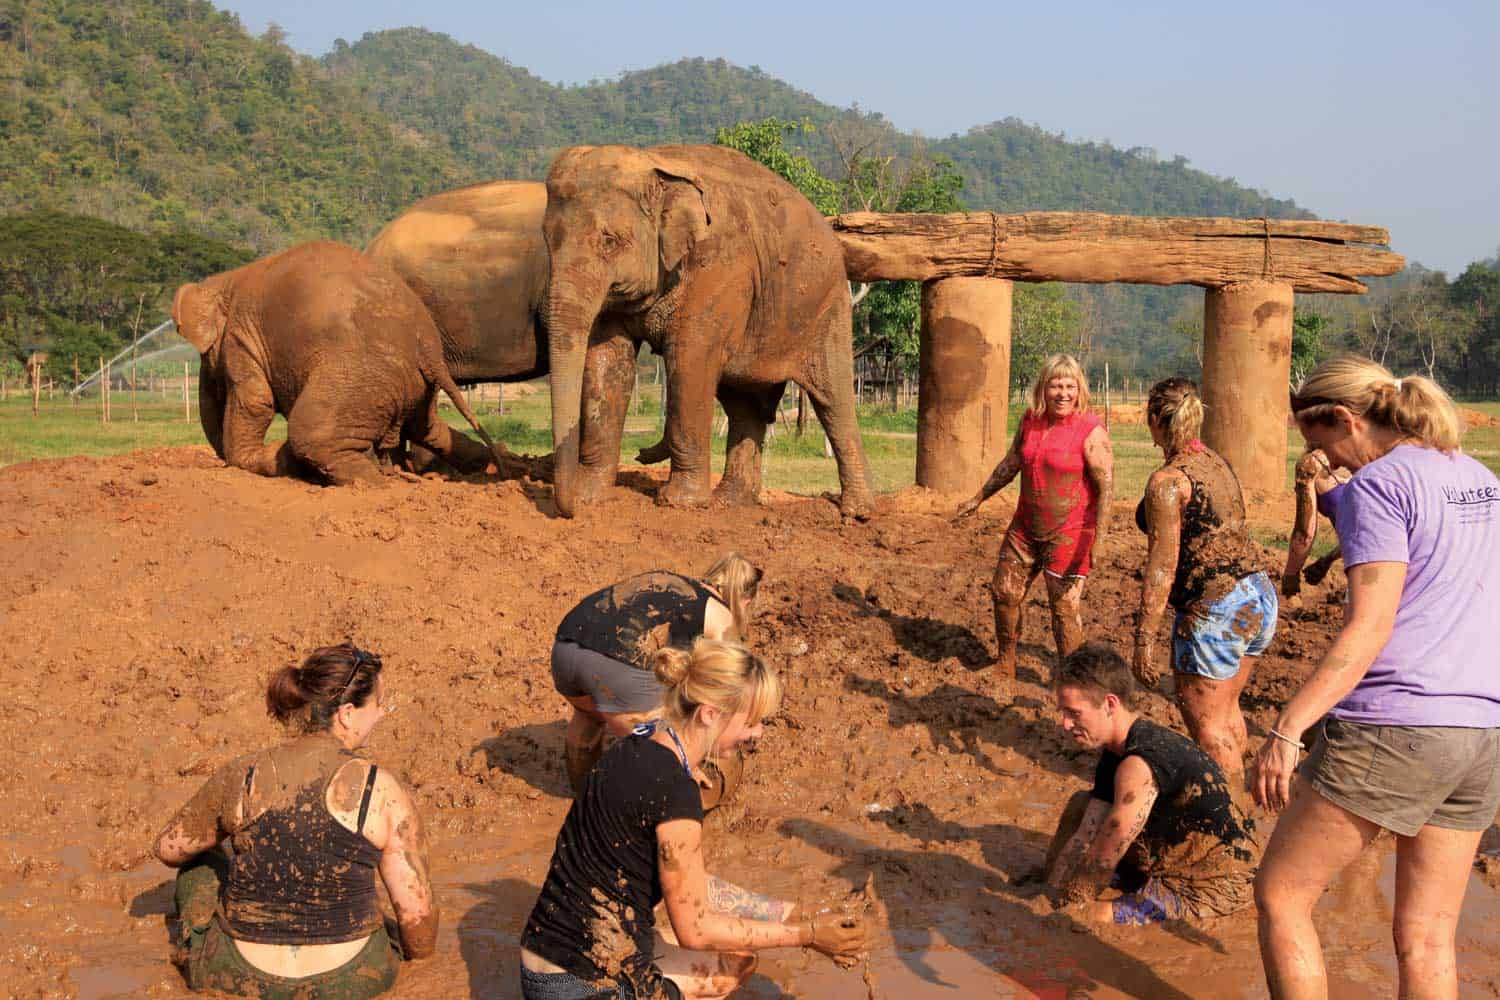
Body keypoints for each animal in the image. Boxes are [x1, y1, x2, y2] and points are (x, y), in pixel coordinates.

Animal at [171, 241, 504, 485]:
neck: (228, 279)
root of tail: (428, 349)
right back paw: (488, 463)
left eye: (205, 358)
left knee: (311, 433)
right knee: (427, 427)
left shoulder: (241, 337)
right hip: (416, 386)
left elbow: (256, 400)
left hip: (360, 377)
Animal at [542, 143, 874, 518]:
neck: (654, 166)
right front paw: (588, 496)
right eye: (546, 240)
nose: (640, 453)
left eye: (609, 241)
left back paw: (857, 512)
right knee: (744, 404)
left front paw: (677, 502)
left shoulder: (720, 266)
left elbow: (689, 360)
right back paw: (730, 502)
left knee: (833, 399)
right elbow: (607, 361)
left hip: (827, 307)